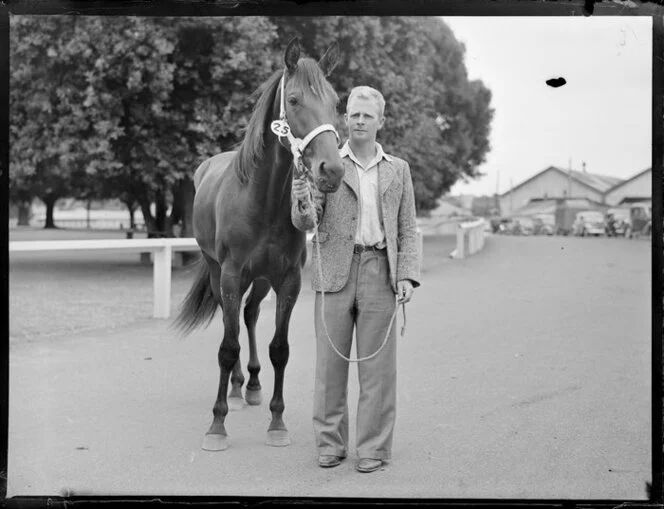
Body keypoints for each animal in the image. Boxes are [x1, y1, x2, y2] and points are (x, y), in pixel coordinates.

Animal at [174, 39, 344, 452]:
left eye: (336, 103)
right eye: (294, 99)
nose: (331, 170)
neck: (261, 200)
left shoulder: (288, 280)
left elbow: (279, 349)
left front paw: (277, 422)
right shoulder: (232, 275)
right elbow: (227, 346)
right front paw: (216, 425)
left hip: (262, 278)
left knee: (249, 315)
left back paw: (249, 384)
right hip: (219, 272)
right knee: (230, 318)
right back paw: (235, 389)